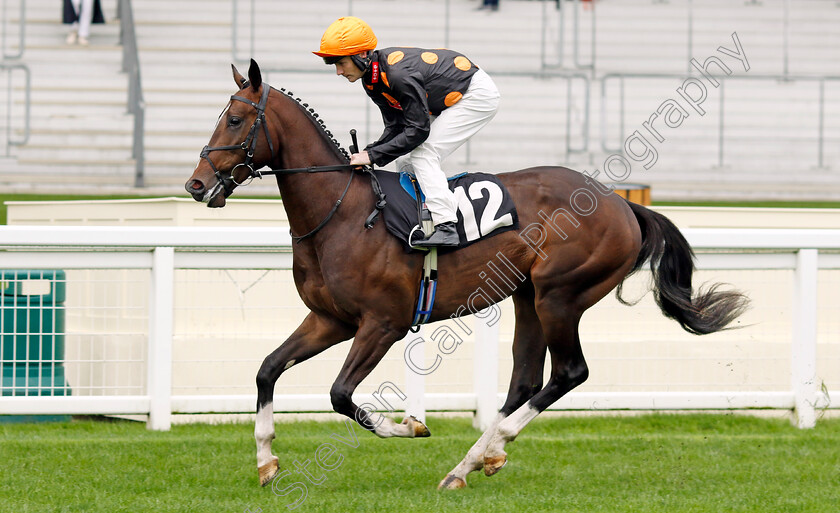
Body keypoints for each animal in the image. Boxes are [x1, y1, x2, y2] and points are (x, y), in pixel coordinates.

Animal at [185, 60, 748, 488]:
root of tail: (623, 205)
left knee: (569, 373)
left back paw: (481, 455)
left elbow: (340, 394)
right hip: (527, 297)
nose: (196, 184)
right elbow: (267, 370)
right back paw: (476, 460)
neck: (340, 213)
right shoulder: (330, 320)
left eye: (235, 120)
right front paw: (266, 463)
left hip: (560, 294)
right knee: (525, 379)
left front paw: (409, 425)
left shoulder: (382, 325)